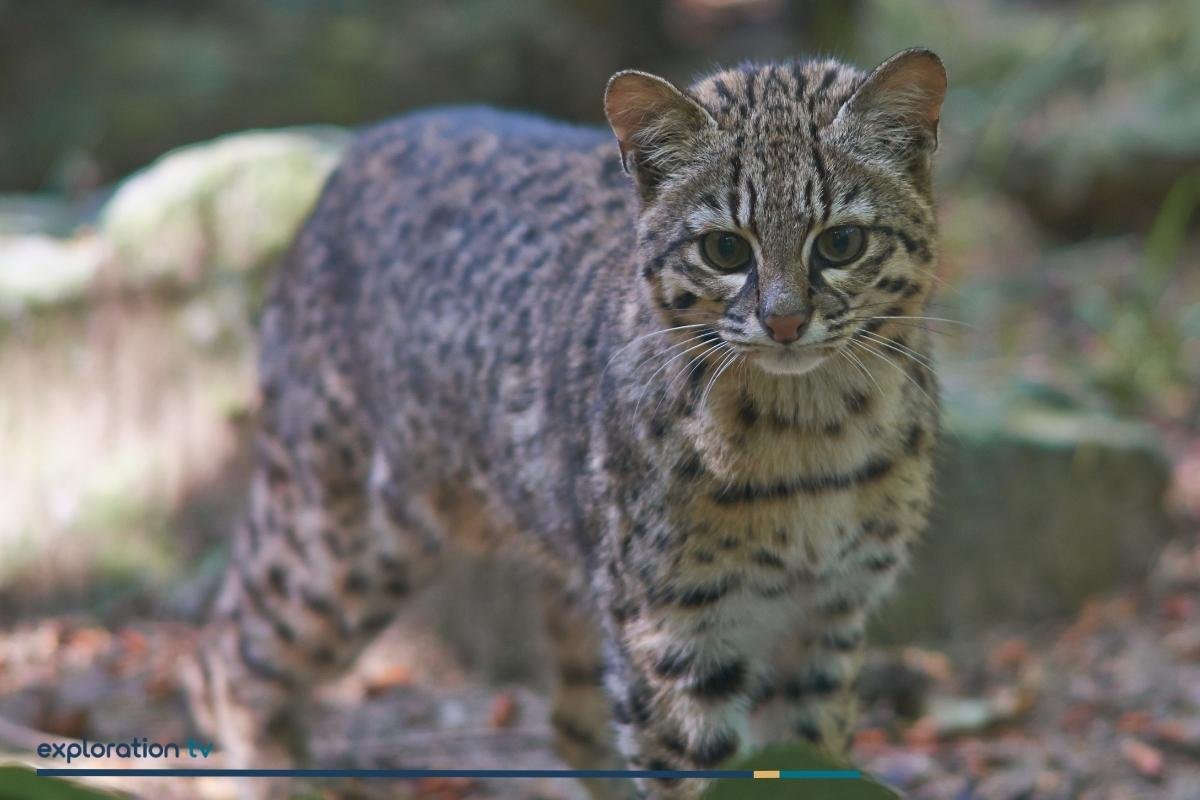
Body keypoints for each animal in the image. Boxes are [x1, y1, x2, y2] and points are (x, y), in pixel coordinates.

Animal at [187, 48, 945, 800]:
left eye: (841, 242)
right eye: (725, 251)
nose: (785, 323)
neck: (816, 426)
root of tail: (355, 152)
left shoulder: (828, 617)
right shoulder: (674, 636)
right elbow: (698, 773)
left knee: (573, 724)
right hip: (336, 536)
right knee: (225, 649)